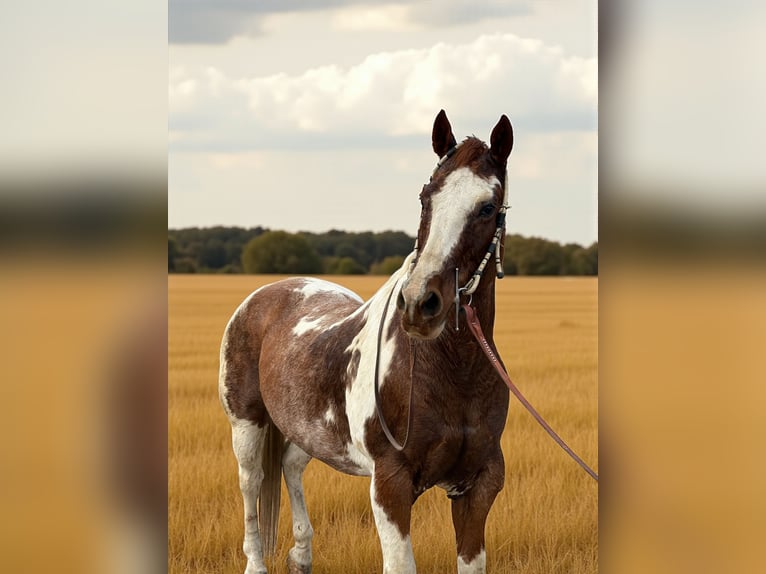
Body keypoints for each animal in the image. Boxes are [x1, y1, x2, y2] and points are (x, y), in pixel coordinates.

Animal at [219, 109, 514, 574]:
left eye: (487, 207)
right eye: (425, 198)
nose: (420, 304)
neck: (452, 372)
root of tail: (269, 292)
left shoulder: (478, 486)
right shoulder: (390, 486)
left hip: (307, 429)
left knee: (290, 466)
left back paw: (301, 554)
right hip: (246, 424)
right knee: (251, 485)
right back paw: (256, 562)